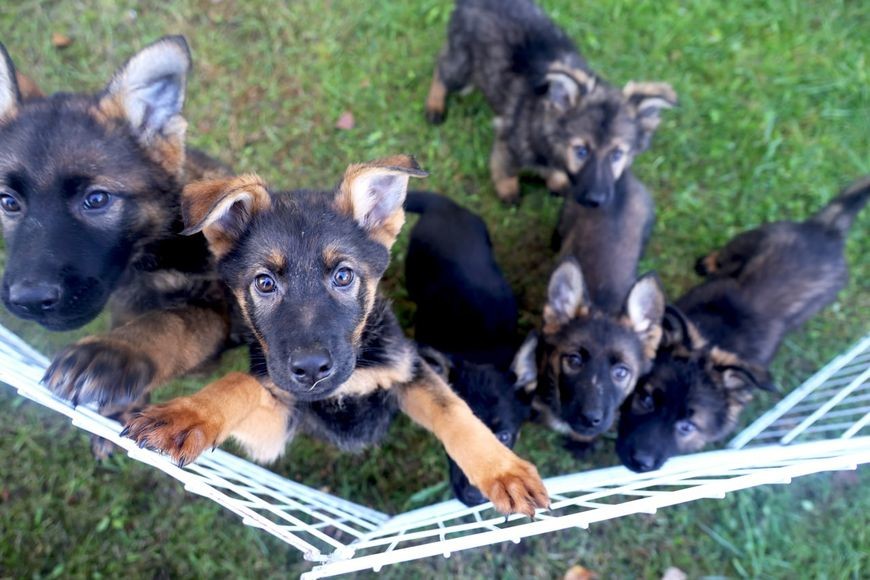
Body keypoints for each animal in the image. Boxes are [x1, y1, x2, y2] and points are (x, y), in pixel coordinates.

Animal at [426, 0, 676, 206]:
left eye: (617, 155)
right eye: (581, 151)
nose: (596, 201)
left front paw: (556, 181)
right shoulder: (507, 141)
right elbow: (505, 169)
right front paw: (508, 192)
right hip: (461, 68)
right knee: (440, 68)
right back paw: (434, 107)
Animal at [620, 177, 870, 472]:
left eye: (687, 426)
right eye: (646, 399)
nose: (640, 463)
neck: (717, 336)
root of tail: (827, 232)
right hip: (753, 238)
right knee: (727, 253)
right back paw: (708, 262)